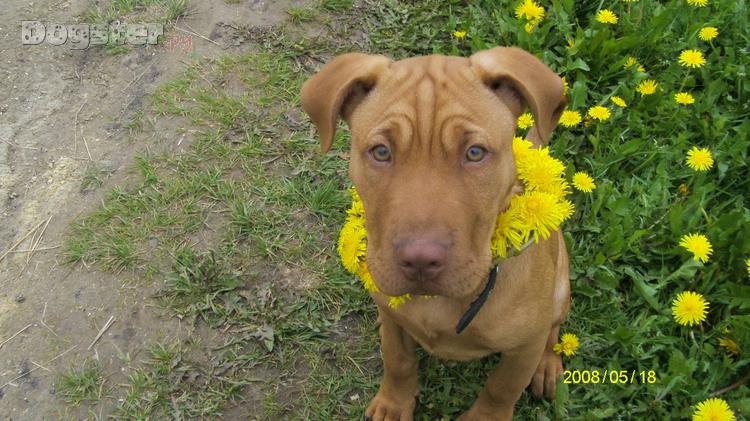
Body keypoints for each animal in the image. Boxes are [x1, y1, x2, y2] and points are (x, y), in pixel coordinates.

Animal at [301, 47, 570, 420]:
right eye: (381, 152)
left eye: (475, 153)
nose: (420, 260)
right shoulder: (396, 329)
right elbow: (398, 361)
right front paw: (393, 403)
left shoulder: (523, 348)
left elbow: (501, 389)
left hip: (560, 284)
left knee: (554, 327)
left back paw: (548, 364)